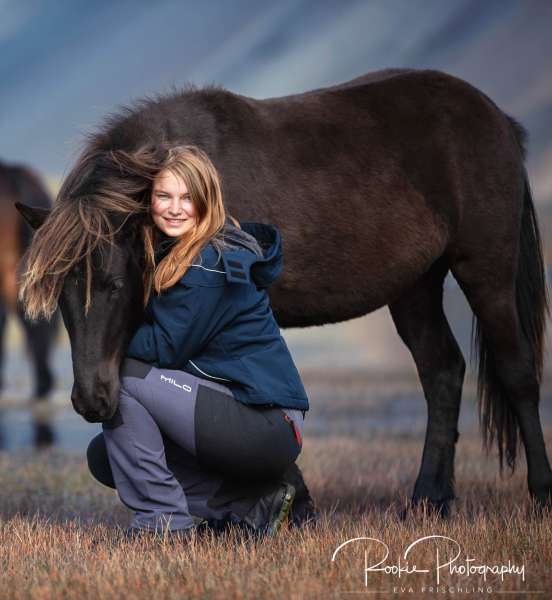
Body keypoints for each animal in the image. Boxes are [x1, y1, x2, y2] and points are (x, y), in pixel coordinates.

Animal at [15, 68, 548, 512]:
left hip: (486, 270)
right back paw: (429, 499)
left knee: (517, 371)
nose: (92, 400)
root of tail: (498, 120)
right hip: (416, 286)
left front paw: (293, 502)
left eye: (116, 284)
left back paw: (539, 492)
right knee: (442, 373)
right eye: (60, 296)